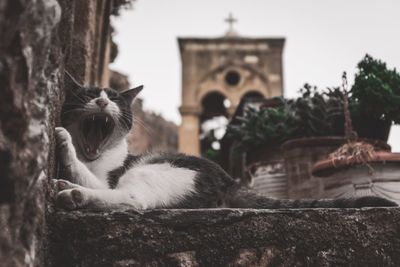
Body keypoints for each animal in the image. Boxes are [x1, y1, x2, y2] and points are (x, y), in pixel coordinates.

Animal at [53, 73, 396, 211]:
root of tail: (229, 180)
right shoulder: (101, 176)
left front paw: (64, 142)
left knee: (133, 200)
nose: (101, 101)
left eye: (113, 99)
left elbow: (86, 172)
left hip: (153, 169)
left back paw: (75, 195)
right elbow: (89, 174)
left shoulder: (108, 176)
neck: (96, 155)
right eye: (88, 95)